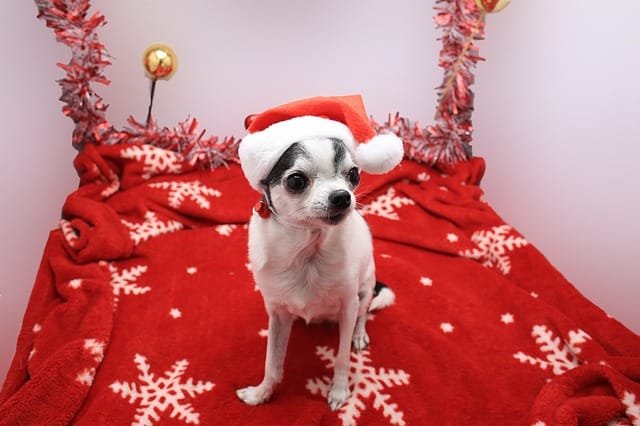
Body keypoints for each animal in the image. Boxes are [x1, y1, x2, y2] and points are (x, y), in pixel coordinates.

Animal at [235, 137, 395, 410]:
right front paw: (261, 394)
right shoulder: (277, 314)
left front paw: (340, 391)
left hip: (364, 289)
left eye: (353, 174)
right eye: (296, 181)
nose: (343, 196)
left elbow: (342, 357)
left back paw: (359, 335)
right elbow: (272, 362)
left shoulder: (348, 307)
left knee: (364, 312)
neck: (307, 252)